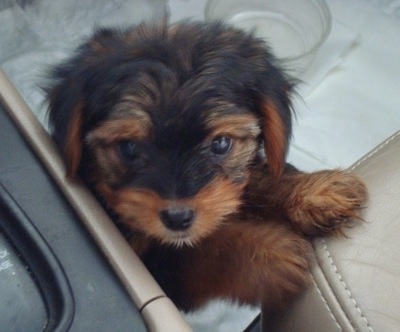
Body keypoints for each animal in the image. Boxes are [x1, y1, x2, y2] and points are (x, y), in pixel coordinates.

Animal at [46, 21, 366, 314]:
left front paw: (316, 192)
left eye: (221, 144)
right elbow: (198, 251)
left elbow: (255, 178)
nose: (177, 217)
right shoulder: (160, 268)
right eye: (130, 148)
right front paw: (270, 253)